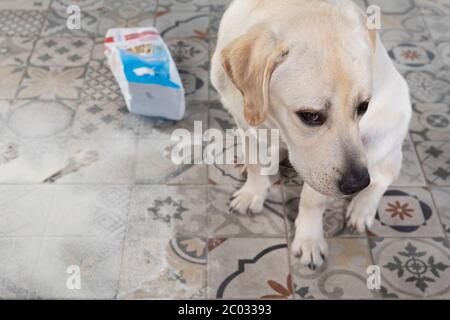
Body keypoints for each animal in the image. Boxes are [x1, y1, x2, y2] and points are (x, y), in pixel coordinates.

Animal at [210, 0, 412, 268]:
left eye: (363, 106)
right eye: (310, 115)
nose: (356, 183)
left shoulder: (321, 170)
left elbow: (312, 200)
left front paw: (309, 240)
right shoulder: (246, 123)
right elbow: (254, 163)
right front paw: (253, 193)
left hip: (384, 137)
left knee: (384, 175)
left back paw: (362, 208)